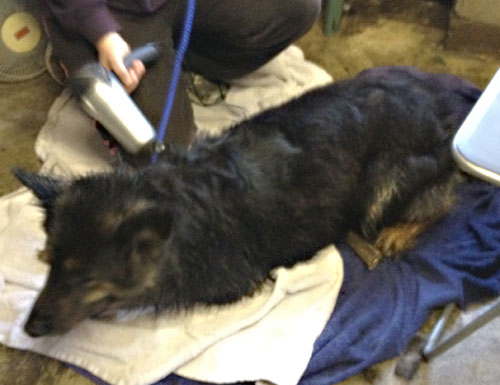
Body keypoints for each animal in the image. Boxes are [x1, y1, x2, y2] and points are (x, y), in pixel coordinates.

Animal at [13, 64, 478, 334]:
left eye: (87, 279)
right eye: (49, 264)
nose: (30, 328)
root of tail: (439, 110)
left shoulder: (232, 284)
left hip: (384, 184)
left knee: (443, 198)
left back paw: (397, 232)